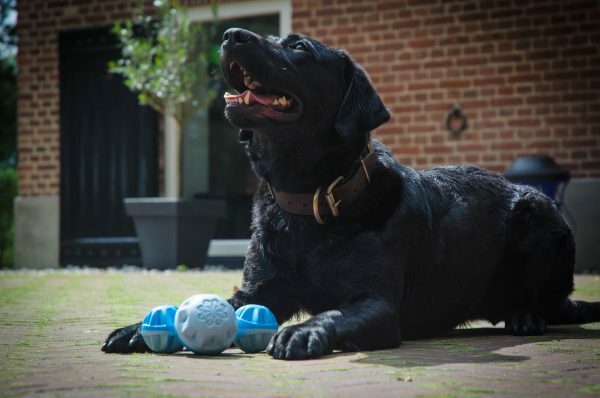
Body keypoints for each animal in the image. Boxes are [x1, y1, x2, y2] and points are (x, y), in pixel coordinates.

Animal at [103, 29, 600, 360]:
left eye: (298, 48)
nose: (230, 34)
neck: (309, 202)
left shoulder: (377, 304)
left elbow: (334, 313)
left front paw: (302, 331)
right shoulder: (256, 290)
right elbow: (222, 303)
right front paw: (138, 327)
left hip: (539, 215)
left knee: (548, 302)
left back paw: (524, 315)